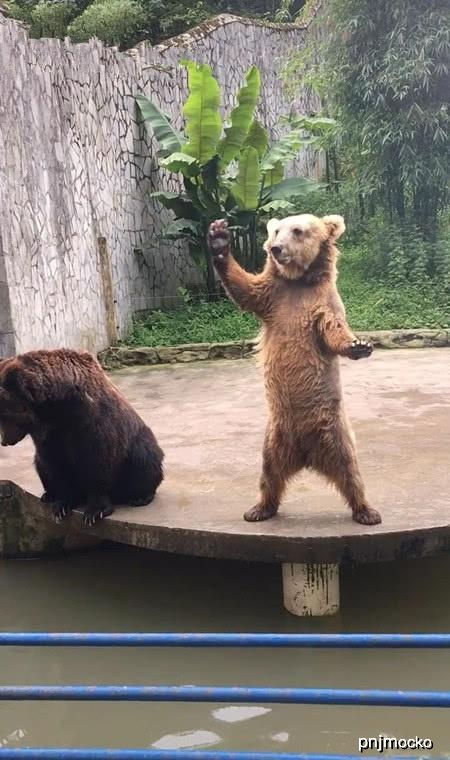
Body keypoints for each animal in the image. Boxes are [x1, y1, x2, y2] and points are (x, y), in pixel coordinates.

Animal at [0, 348, 164, 526]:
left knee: (143, 459)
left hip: (136, 446)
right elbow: (55, 463)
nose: (4, 441)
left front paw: (95, 511)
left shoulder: (91, 421)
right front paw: (62, 505)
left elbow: (97, 461)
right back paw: (49, 495)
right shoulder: (49, 435)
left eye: (4, 415)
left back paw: (140, 496)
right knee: (40, 465)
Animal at [208, 215, 381, 526]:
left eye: (298, 230)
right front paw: (218, 237)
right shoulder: (274, 297)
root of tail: (307, 456)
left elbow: (333, 329)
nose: (276, 248)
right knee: (269, 474)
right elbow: (245, 288)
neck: (298, 280)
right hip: (275, 436)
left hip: (335, 430)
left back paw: (366, 511)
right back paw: (258, 509)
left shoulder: (322, 303)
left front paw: (359, 344)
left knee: (351, 470)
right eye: (277, 230)